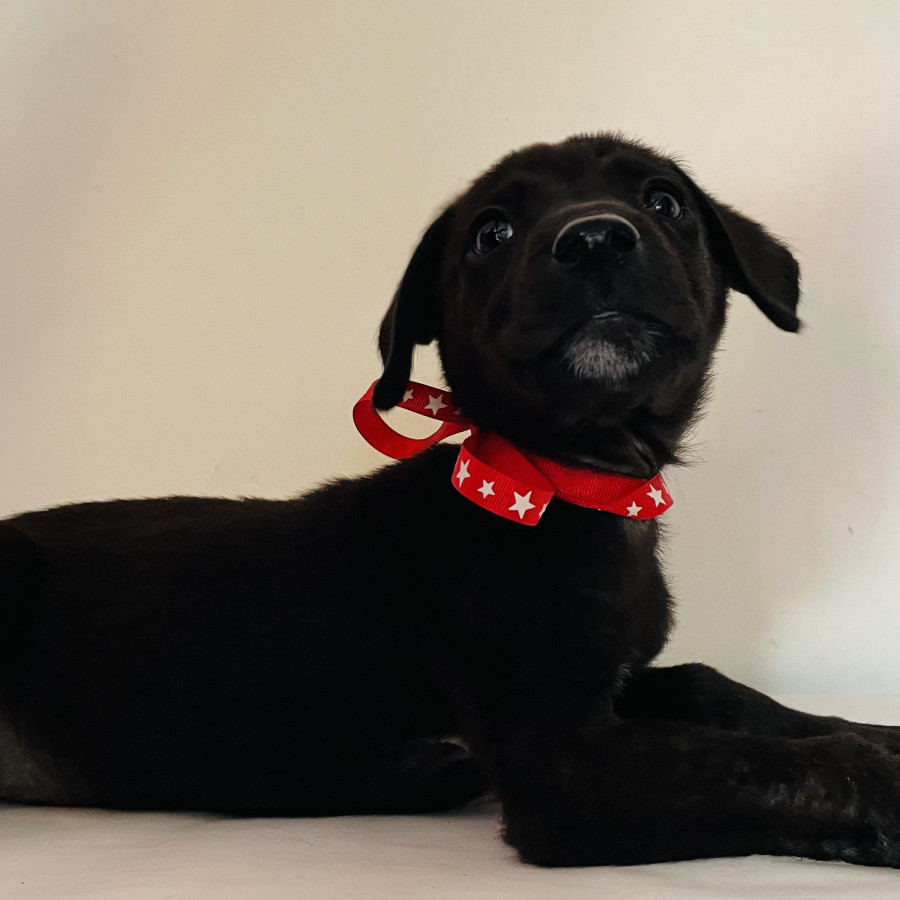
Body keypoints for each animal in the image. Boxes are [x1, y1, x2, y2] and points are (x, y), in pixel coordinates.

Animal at [1, 135, 900, 864]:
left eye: (663, 200)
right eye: (491, 233)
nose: (595, 238)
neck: (572, 480)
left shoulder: (612, 689)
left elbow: (717, 692)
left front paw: (874, 731)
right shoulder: (561, 764)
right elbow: (756, 765)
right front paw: (879, 787)